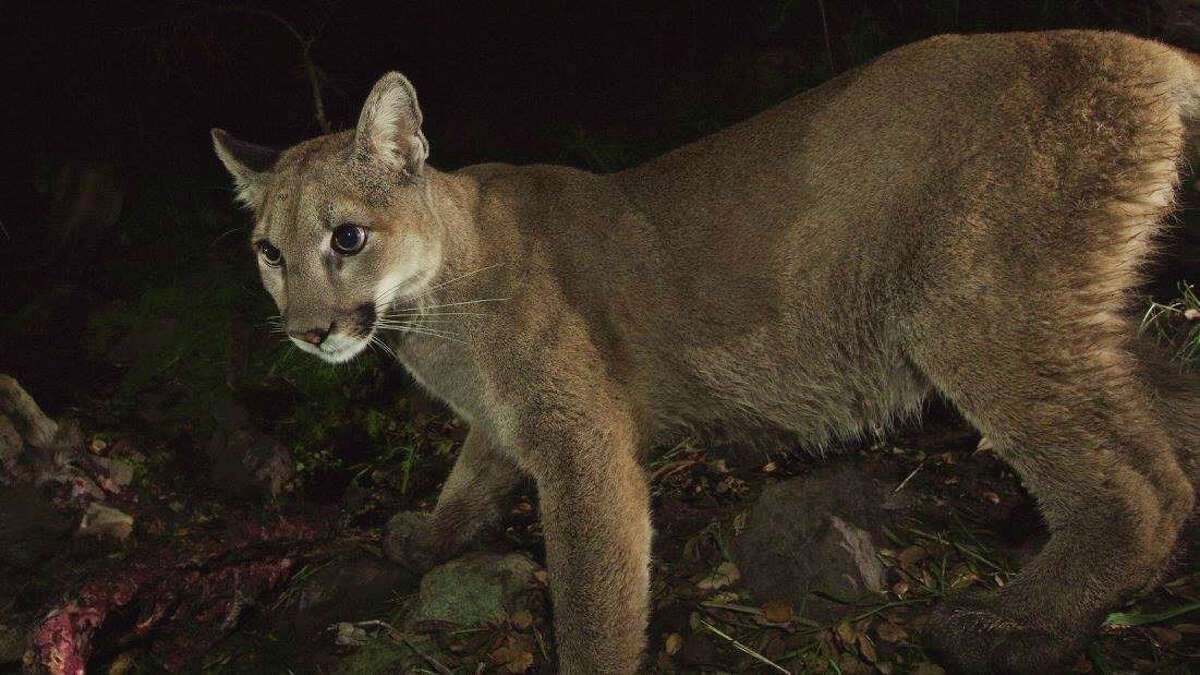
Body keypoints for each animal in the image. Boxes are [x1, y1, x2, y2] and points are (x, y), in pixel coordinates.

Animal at [216, 30, 1200, 667]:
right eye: (269, 252)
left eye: (347, 238)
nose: (307, 329)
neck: (428, 308)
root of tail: (1140, 46)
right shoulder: (510, 419)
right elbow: (471, 473)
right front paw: (429, 536)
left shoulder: (580, 440)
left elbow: (594, 595)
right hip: (1078, 314)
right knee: (1172, 423)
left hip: (973, 305)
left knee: (1138, 488)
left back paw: (1010, 628)